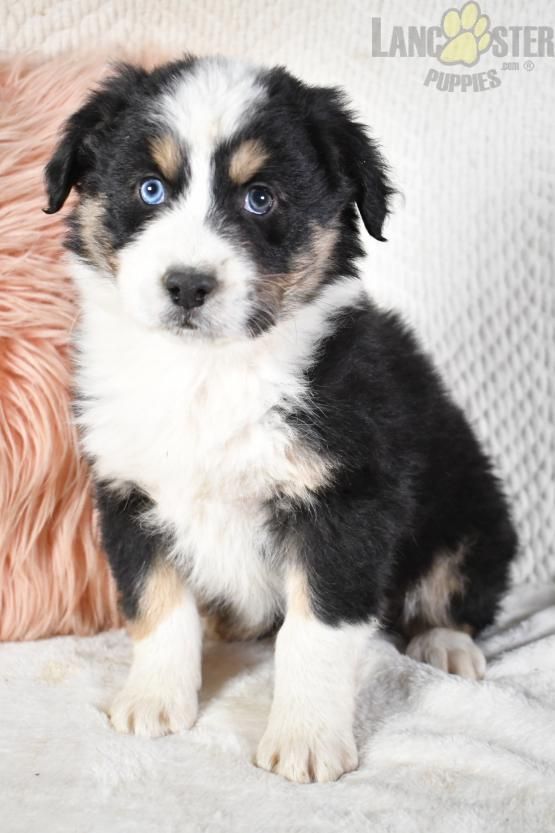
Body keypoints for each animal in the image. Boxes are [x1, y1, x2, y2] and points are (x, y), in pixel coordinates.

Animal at [44, 55, 516, 784]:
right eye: (149, 188)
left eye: (259, 199)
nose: (186, 285)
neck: (206, 374)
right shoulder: (129, 492)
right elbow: (156, 605)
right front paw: (153, 702)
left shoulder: (347, 500)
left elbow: (313, 633)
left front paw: (305, 741)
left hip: (471, 507)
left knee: (456, 591)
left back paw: (445, 645)